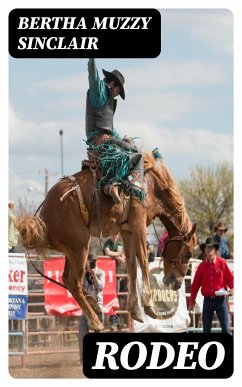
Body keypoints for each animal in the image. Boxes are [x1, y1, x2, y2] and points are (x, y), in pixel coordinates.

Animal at [16, 154, 197, 330]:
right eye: (188, 253)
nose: (178, 283)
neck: (152, 188)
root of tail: (42, 219)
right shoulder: (138, 224)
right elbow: (143, 260)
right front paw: (149, 306)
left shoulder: (127, 230)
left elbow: (132, 265)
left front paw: (135, 310)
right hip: (80, 246)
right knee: (74, 283)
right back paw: (96, 321)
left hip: (70, 250)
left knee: (66, 279)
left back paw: (95, 304)